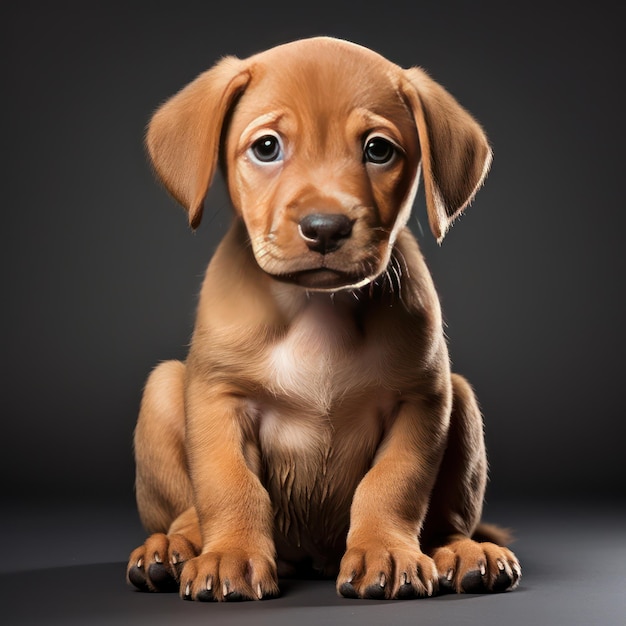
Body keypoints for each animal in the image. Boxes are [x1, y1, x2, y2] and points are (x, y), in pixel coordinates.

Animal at [124, 35, 520, 600]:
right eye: (267, 147)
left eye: (378, 150)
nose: (326, 227)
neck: (317, 309)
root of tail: (311, 558)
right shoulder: (220, 397)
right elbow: (230, 485)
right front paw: (230, 556)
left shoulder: (421, 400)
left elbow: (391, 486)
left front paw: (386, 553)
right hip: (162, 387)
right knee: (186, 513)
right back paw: (173, 548)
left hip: (460, 399)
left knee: (446, 523)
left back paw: (465, 552)